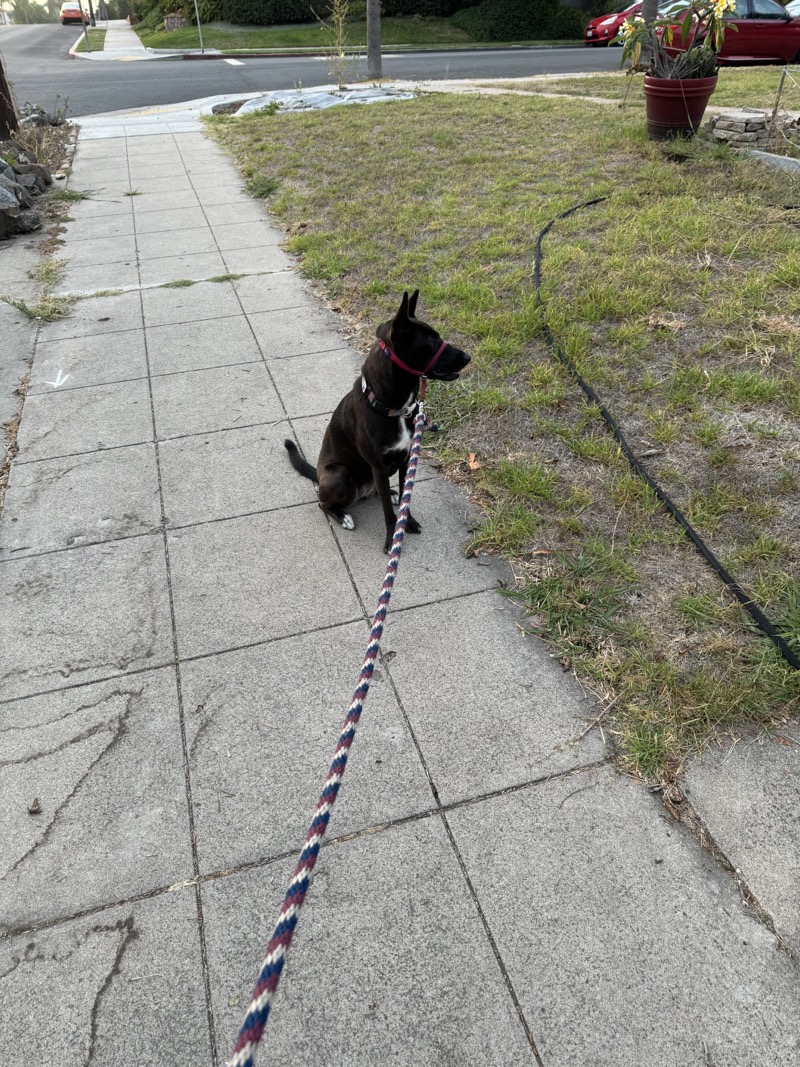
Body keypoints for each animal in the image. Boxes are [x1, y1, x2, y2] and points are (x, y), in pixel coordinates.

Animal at [285, 292, 469, 559]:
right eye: (433, 342)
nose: (468, 357)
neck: (393, 407)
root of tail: (318, 475)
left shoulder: (405, 460)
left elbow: (405, 497)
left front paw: (408, 521)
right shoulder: (379, 467)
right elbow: (389, 515)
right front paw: (393, 538)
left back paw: (388, 494)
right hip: (339, 474)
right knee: (323, 503)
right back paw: (343, 516)